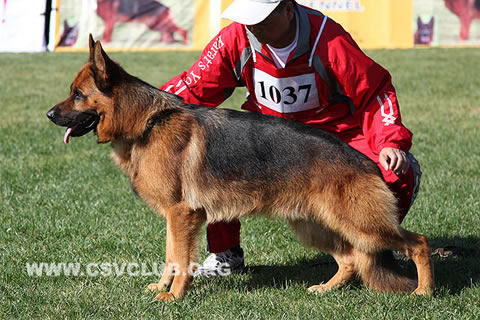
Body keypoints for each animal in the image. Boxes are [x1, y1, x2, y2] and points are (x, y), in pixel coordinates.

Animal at [47, 36, 436, 302]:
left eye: (77, 94)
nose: (49, 115)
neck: (147, 123)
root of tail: (365, 161)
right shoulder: (174, 218)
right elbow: (170, 256)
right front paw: (162, 286)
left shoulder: (182, 215)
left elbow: (180, 259)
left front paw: (174, 296)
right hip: (316, 226)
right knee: (352, 260)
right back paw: (326, 289)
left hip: (362, 226)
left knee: (417, 242)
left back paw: (424, 292)